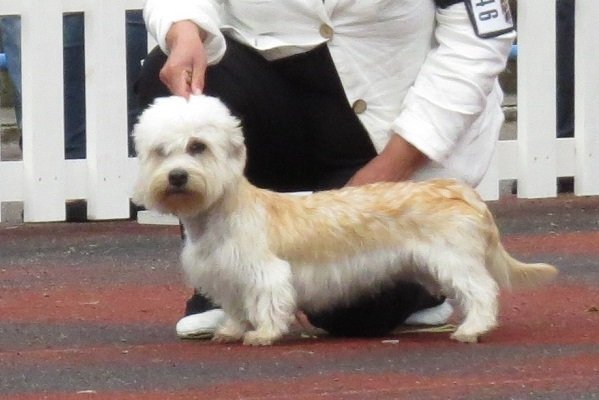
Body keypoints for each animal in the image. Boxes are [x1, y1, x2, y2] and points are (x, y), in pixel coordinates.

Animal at [132, 95, 556, 346]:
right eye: (160, 151)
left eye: (197, 147)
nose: (177, 177)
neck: (220, 213)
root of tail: (462, 192)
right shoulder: (226, 275)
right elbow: (237, 308)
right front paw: (231, 331)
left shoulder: (266, 273)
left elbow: (267, 303)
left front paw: (263, 334)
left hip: (454, 260)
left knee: (482, 291)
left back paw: (471, 329)